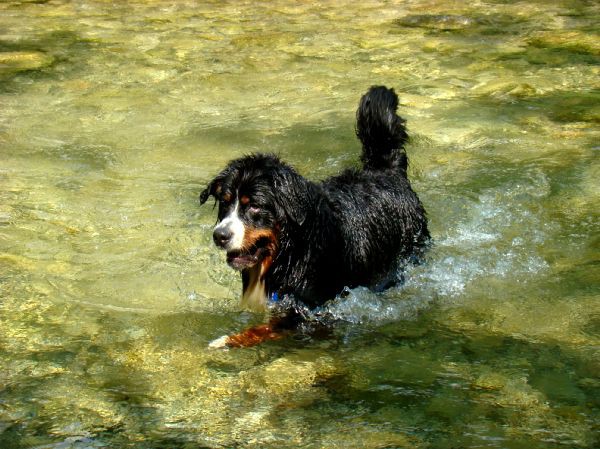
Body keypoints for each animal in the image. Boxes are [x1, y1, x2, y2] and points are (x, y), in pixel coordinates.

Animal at [199, 86, 428, 348]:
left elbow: (263, 328)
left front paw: (226, 340)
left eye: (254, 206)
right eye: (225, 201)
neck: (292, 252)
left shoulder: (311, 310)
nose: (220, 235)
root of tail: (388, 171)